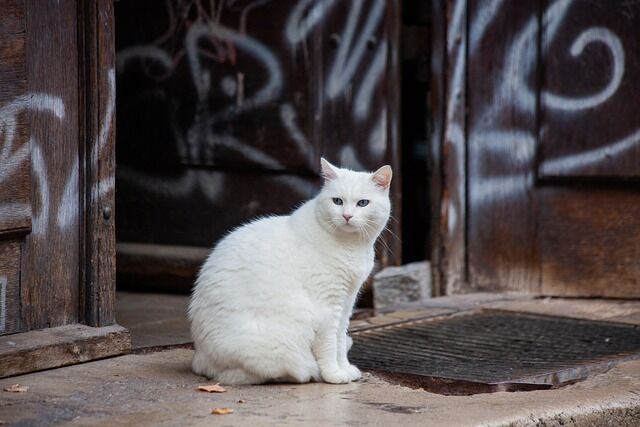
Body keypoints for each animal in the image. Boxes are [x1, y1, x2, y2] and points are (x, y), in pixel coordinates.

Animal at [188, 159, 392, 386]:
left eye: (363, 203)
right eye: (337, 201)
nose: (347, 216)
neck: (351, 246)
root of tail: (200, 357)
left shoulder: (346, 301)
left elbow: (340, 339)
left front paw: (345, 368)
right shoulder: (329, 307)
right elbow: (330, 344)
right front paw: (334, 374)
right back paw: (308, 372)